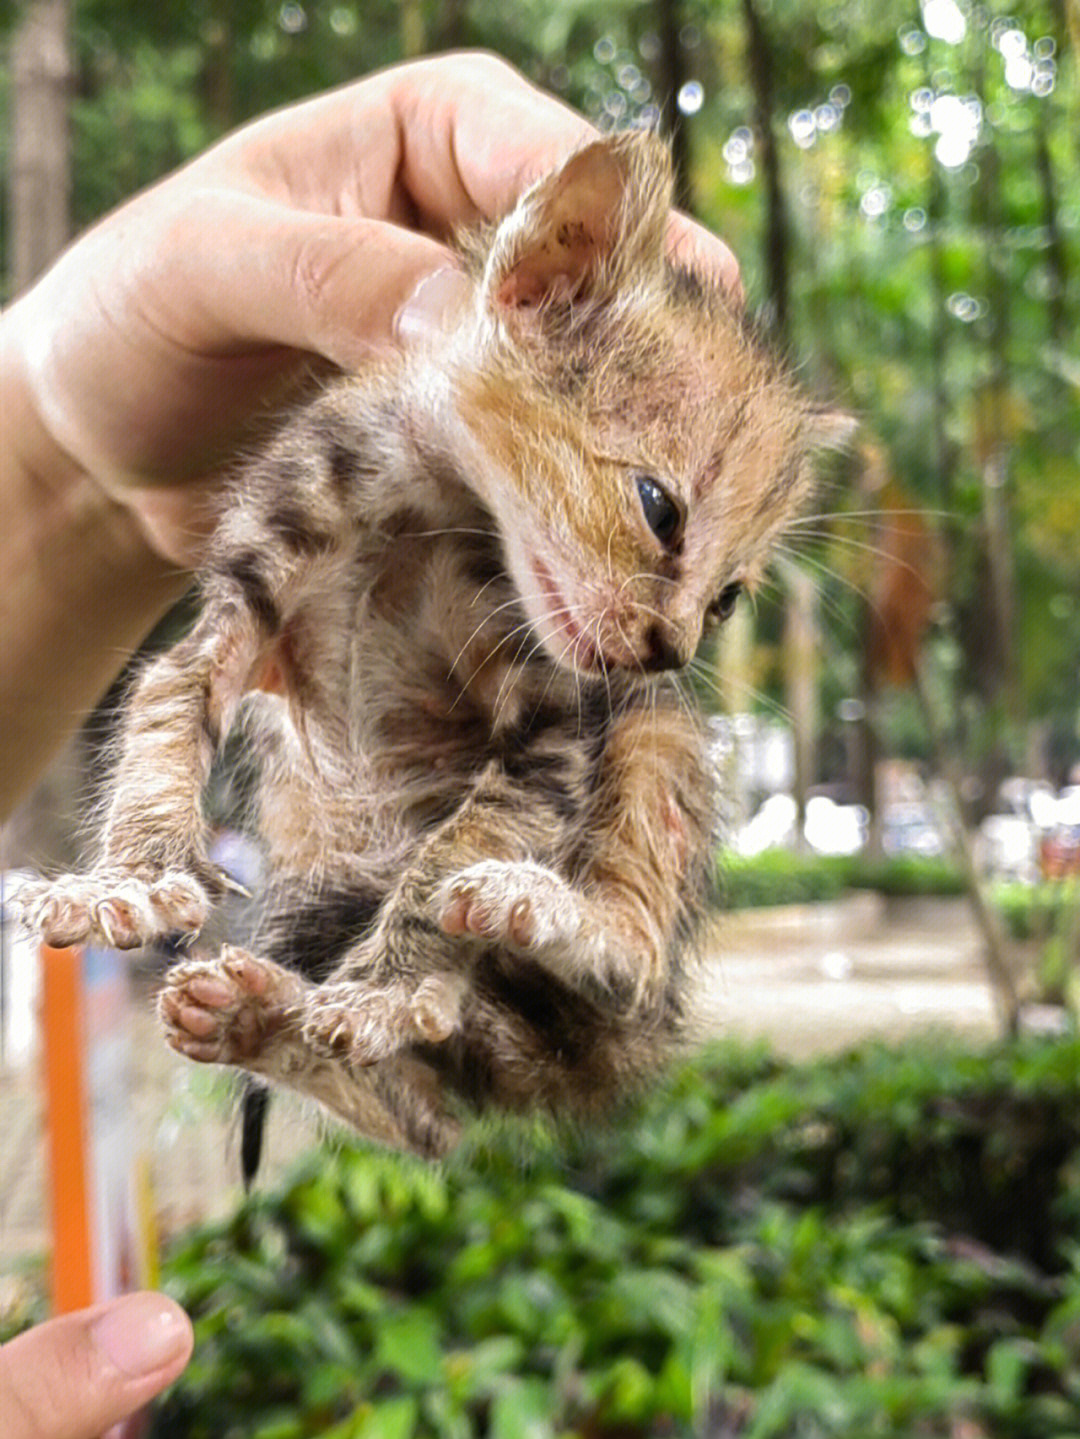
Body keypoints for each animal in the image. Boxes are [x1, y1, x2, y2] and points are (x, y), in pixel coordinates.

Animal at [14, 135, 845, 1162]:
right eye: (660, 510)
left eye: (729, 599)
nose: (668, 648)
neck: (432, 508)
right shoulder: (240, 603)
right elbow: (163, 717)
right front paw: (130, 877)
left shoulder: (556, 727)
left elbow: (458, 848)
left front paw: (388, 984)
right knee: (433, 1114)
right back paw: (259, 1021)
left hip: (653, 742)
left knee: (627, 973)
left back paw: (547, 913)